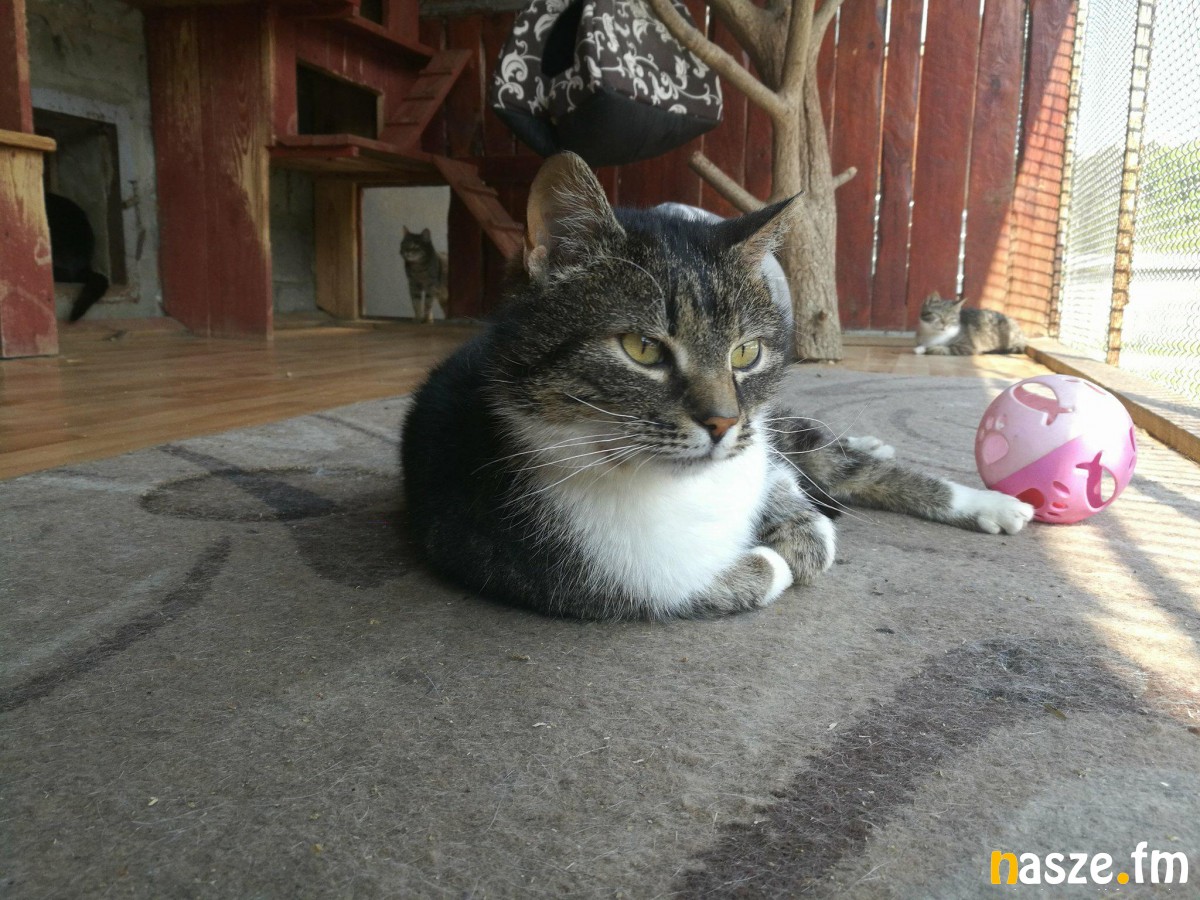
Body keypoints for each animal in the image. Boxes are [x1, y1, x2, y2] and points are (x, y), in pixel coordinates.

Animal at [401, 153, 1033, 621]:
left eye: (745, 353)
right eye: (642, 348)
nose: (724, 424)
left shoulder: (761, 452)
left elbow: (803, 509)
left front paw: (802, 524)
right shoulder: (509, 552)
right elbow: (689, 583)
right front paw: (770, 560)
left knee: (846, 457)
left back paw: (985, 500)